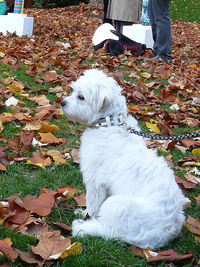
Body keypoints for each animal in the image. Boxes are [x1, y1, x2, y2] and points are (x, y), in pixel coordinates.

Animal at [61, 70, 188, 250]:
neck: (109, 122)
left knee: (107, 229)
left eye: (81, 97)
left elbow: (92, 204)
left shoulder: (95, 181)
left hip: (118, 205)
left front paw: (86, 214)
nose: (62, 103)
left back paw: (83, 227)